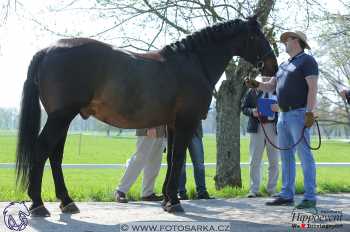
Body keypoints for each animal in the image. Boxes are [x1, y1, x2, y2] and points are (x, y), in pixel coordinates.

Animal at [15, 15, 278, 216]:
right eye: (256, 36)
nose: (273, 65)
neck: (193, 63)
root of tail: (47, 50)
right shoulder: (186, 122)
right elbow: (178, 159)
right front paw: (174, 202)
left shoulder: (172, 124)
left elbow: (171, 159)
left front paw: (167, 200)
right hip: (60, 117)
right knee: (41, 151)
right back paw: (38, 205)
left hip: (63, 119)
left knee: (55, 155)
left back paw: (67, 202)